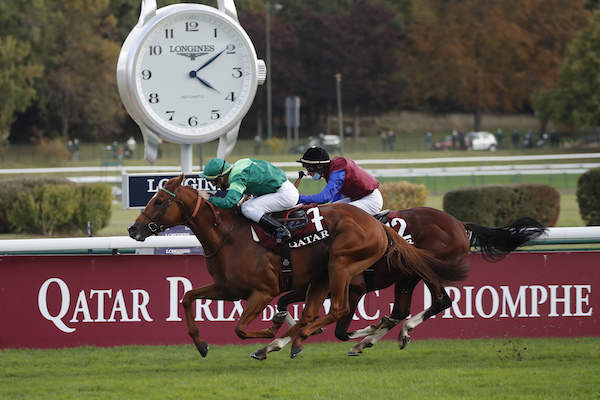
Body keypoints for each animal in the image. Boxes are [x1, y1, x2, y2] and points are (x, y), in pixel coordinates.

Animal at [129, 175, 472, 360]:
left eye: (158, 201)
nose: (134, 229)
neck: (228, 235)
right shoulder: (228, 288)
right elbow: (187, 297)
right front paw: (201, 343)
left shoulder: (263, 291)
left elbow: (242, 327)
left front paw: (273, 333)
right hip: (364, 276)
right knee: (389, 310)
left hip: (347, 266)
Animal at [270, 206, 548, 356]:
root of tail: (459, 223)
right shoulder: (313, 287)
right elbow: (285, 303)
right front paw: (281, 340)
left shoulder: (355, 288)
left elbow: (340, 329)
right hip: (408, 276)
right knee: (402, 310)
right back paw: (378, 338)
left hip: (427, 269)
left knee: (440, 301)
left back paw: (388, 335)